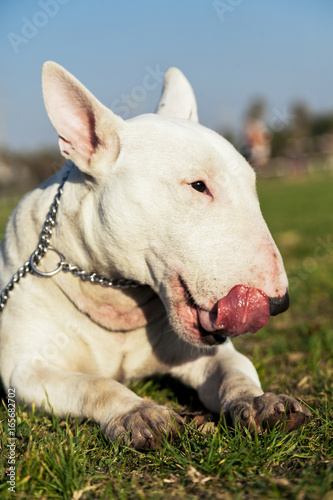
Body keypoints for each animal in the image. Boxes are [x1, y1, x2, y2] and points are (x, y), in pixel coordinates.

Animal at [0, 62, 310, 450]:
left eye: (252, 185)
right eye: (198, 186)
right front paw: (138, 412)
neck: (113, 290)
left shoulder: (204, 351)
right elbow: (95, 383)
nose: (280, 303)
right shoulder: (26, 370)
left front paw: (258, 401)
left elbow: (235, 370)